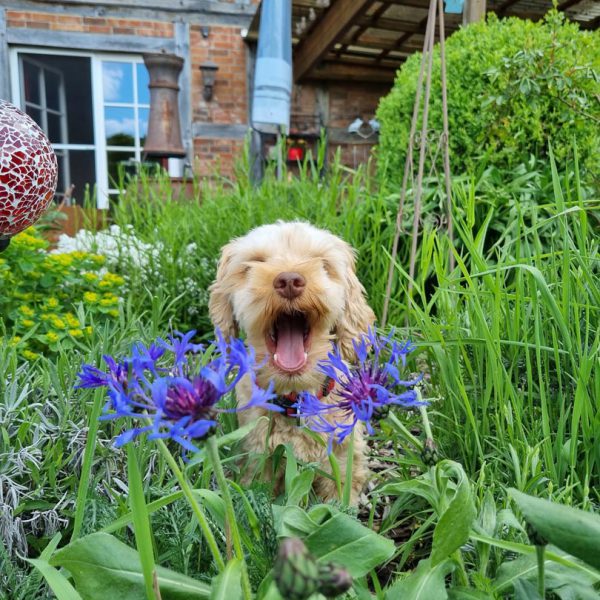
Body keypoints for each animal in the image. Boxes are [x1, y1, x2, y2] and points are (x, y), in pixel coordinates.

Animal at [207, 220, 376, 502]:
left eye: (322, 262)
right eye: (255, 262)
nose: (289, 280)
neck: (296, 399)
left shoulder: (342, 461)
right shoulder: (257, 460)